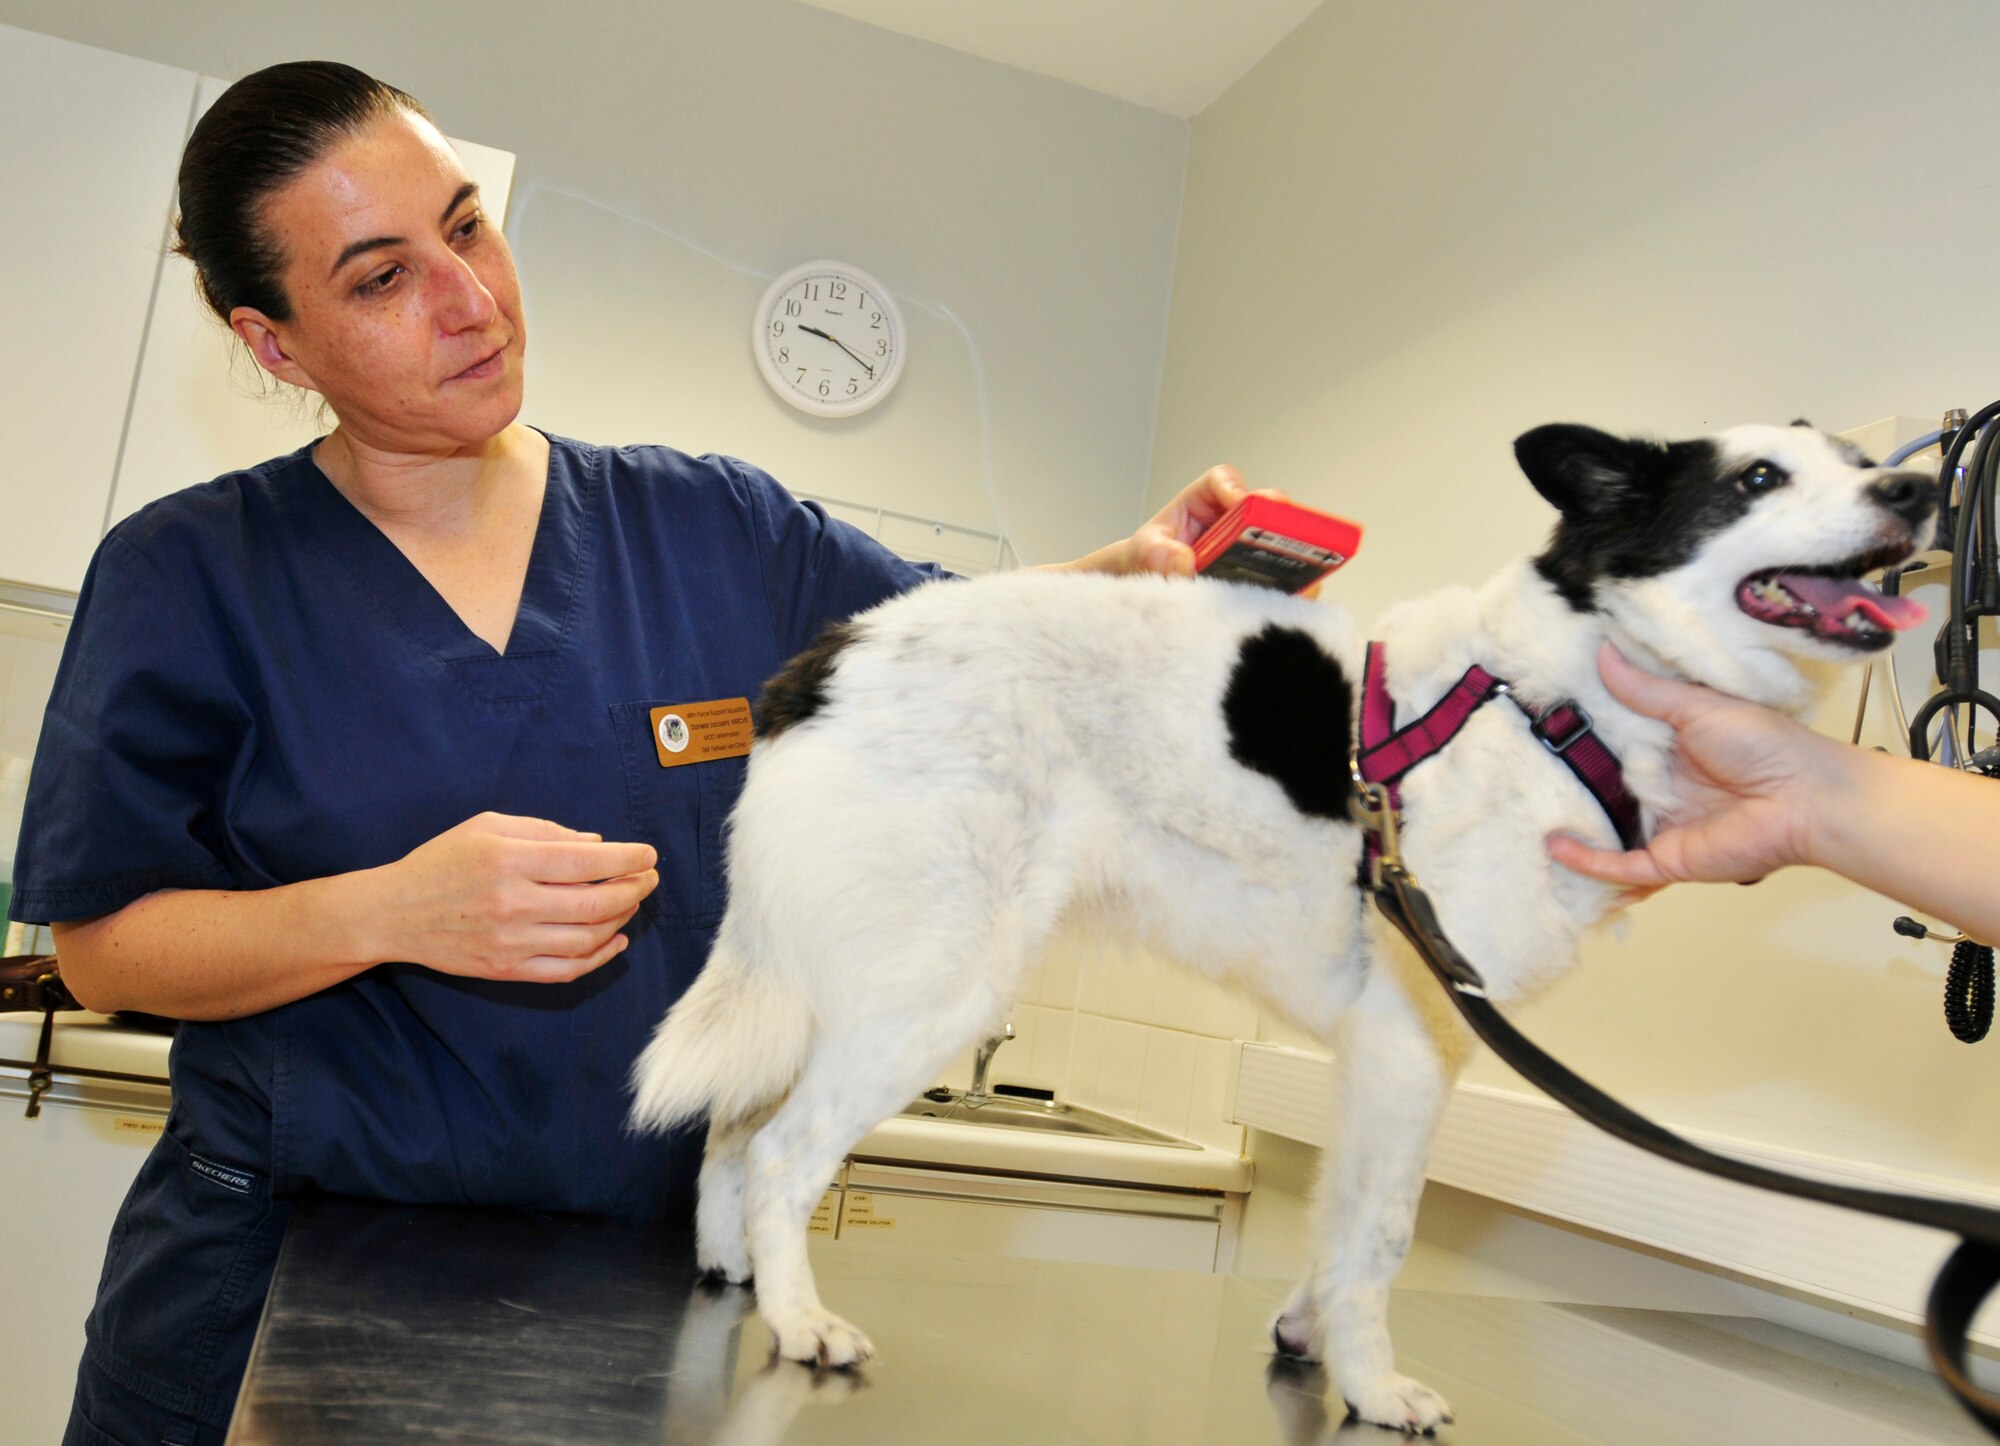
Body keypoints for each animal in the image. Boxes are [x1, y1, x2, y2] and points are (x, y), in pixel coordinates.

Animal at [628, 422, 1936, 1440]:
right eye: (1758, 477)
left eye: (1863, 459)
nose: (1917, 491)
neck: (1549, 700)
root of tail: (830, 654)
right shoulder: (1413, 1039)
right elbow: (1383, 1237)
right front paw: (1372, 1383)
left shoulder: (1384, 1052)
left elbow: (1341, 1219)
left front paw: (1309, 1335)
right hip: (934, 981)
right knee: (784, 1151)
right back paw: (801, 1319)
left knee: (733, 1136)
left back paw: (736, 1276)